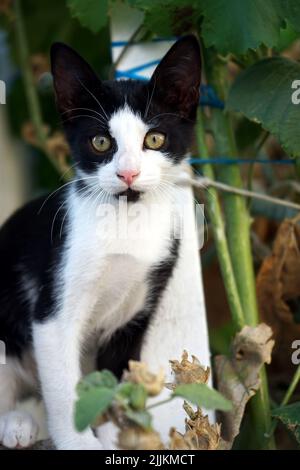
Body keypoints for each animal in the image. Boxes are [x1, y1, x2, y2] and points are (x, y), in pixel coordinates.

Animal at [0, 35, 211, 448]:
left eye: (155, 138)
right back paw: (15, 423)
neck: (127, 223)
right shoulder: (52, 311)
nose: (128, 173)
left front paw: (117, 433)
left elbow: (114, 380)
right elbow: (64, 389)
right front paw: (79, 442)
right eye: (100, 142)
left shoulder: (138, 309)